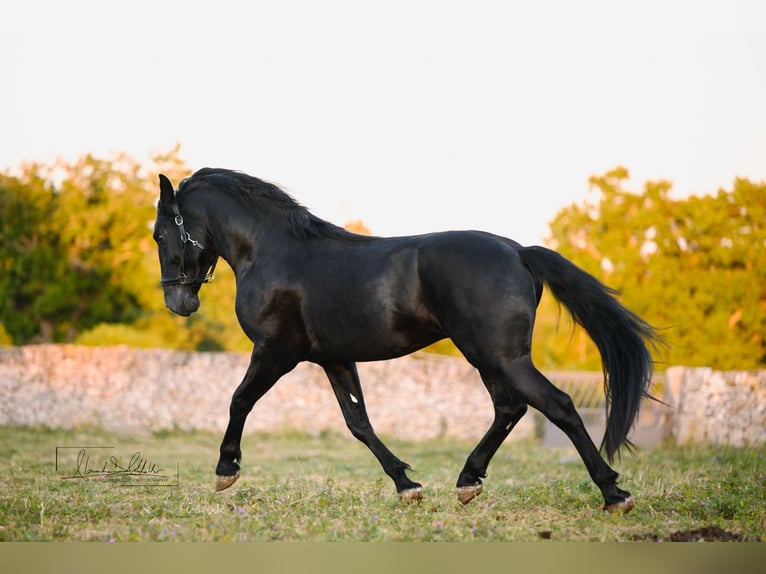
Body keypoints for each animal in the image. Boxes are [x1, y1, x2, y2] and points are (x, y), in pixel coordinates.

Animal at [153, 168, 659, 513]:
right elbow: (358, 423)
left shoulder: (276, 352)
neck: (272, 252)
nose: (178, 302)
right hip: (489, 358)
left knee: (557, 405)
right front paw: (406, 484)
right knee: (510, 409)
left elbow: (239, 400)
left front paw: (226, 471)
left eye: (159, 234)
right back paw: (468, 480)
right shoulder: (334, 360)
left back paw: (614, 492)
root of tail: (518, 251)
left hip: (499, 355)